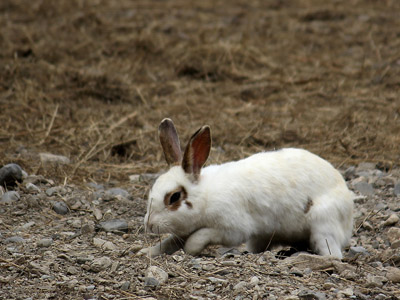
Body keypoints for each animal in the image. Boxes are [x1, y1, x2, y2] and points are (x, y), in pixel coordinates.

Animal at [141, 118, 354, 258]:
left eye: (174, 197)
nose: (149, 224)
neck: (206, 196)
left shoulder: (232, 228)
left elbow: (200, 237)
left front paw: (192, 248)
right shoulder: (181, 233)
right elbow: (169, 243)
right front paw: (146, 251)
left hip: (322, 225)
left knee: (333, 254)